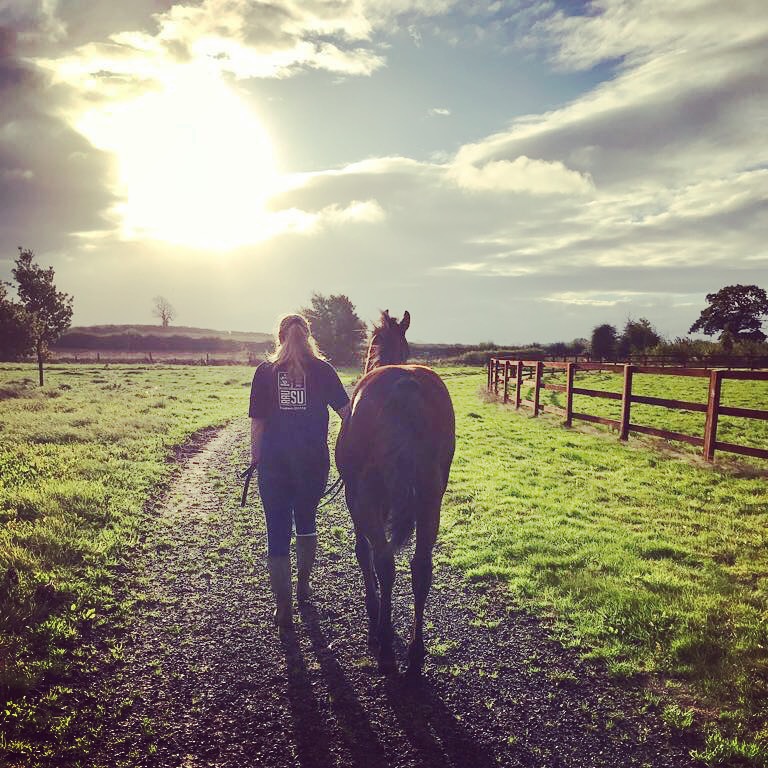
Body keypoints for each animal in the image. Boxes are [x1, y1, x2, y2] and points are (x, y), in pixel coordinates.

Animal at [332, 308, 452, 676]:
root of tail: (405, 386)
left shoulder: (355, 498)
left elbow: (363, 552)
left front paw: (373, 613)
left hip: (367, 497)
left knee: (384, 560)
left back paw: (383, 638)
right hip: (430, 498)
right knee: (421, 567)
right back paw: (415, 650)